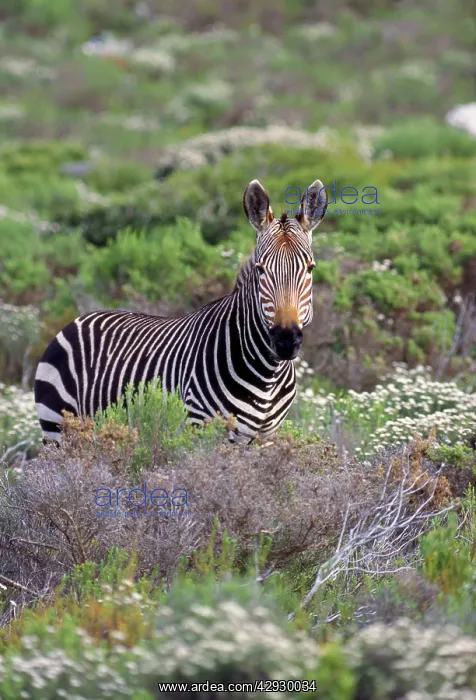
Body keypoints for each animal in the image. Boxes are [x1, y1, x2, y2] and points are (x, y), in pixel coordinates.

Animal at [35, 179, 328, 443]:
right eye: (261, 269)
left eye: (310, 268)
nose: (286, 340)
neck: (268, 376)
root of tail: (80, 318)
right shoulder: (200, 430)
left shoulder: (266, 439)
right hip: (57, 429)